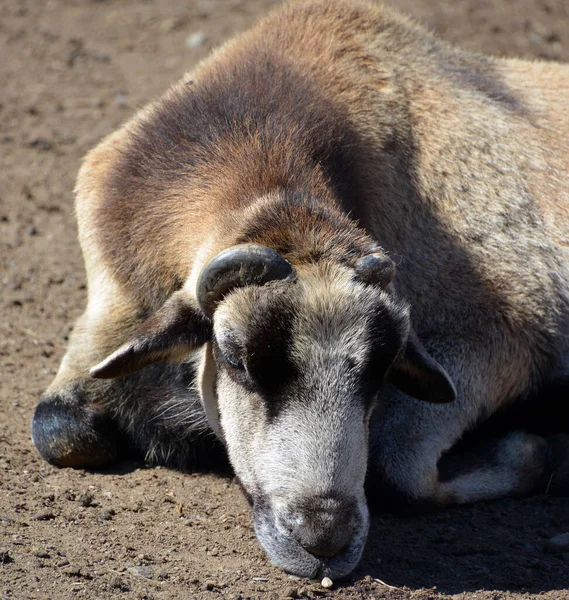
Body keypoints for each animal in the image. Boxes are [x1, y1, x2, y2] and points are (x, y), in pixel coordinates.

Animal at [32, 0, 568, 580]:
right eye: (235, 359)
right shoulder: (112, 304)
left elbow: (396, 472)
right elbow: (60, 430)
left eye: (384, 367)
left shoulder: (500, 336)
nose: (324, 539)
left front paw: (536, 452)